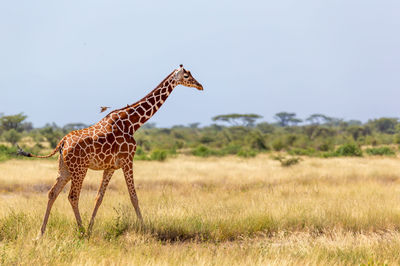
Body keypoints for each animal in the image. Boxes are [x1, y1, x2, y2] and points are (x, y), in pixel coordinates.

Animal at [17, 65, 203, 237]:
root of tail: (62, 142)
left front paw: (91, 228)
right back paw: (81, 232)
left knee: (52, 193)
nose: (200, 85)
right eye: (187, 75)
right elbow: (133, 196)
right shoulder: (128, 160)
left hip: (64, 169)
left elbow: (99, 197)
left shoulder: (110, 167)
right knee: (72, 196)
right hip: (79, 169)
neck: (132, 123)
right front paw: (144, 228)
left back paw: (40, 234)